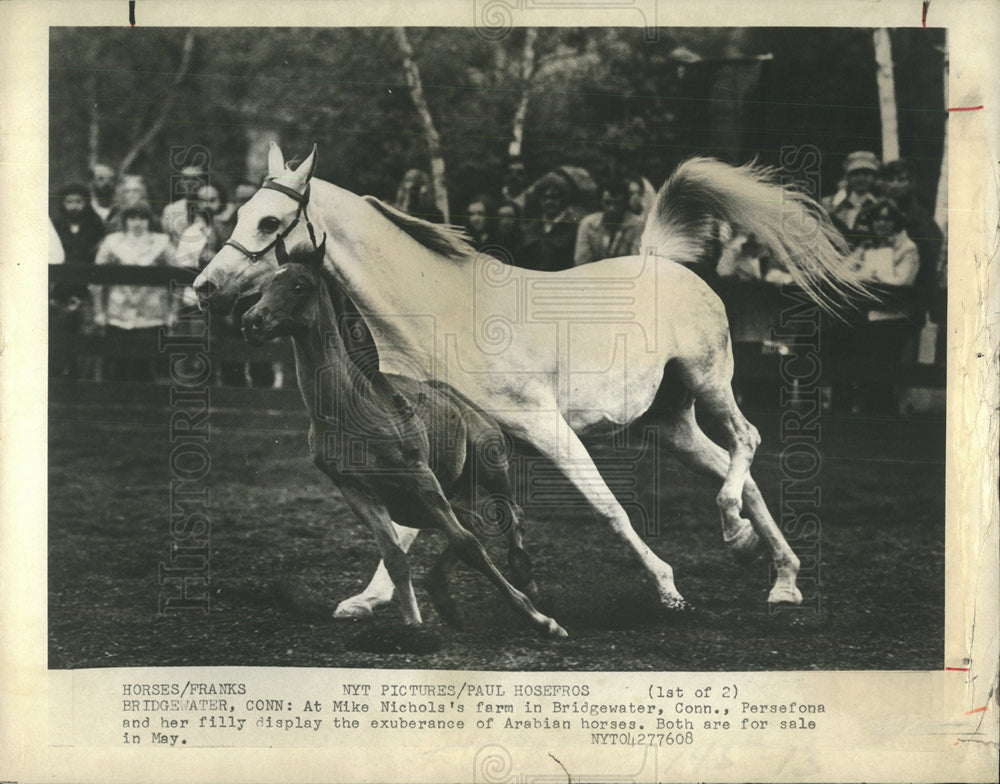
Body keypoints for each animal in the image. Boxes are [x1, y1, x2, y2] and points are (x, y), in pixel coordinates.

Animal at [195, 141, 868, 620]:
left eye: (270, 222)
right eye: (239, 212)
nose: (204, 285)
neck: (443, 312)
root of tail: (662, 261)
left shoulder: (545, 430)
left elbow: (608, 509)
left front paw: (667, 588)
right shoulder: (439, 450)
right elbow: (409, 530)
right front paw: (370, 599)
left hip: (709, 381)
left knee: (747, 443)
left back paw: (734, 533)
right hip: (668, 423)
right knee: (740, 473)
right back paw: (780, 577)